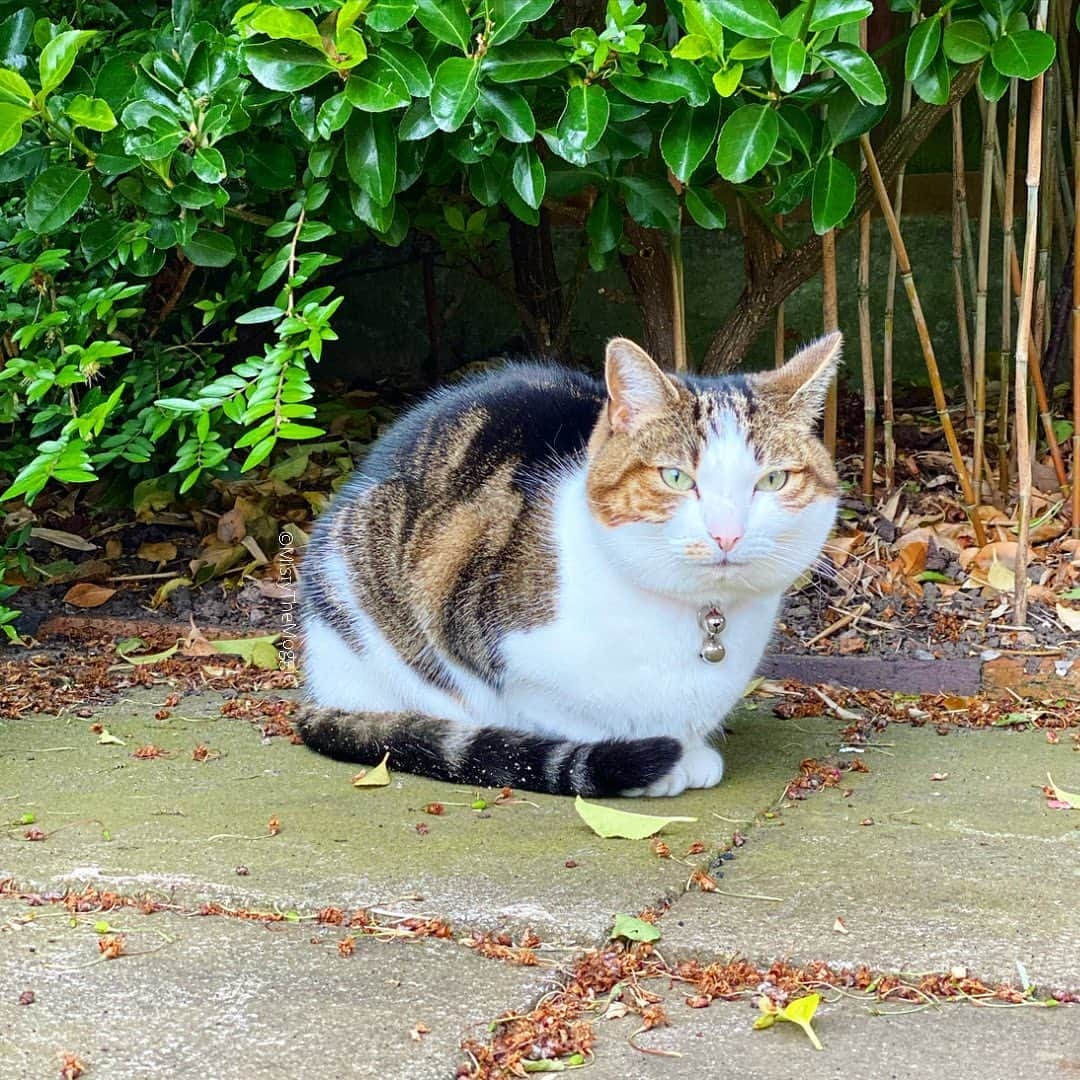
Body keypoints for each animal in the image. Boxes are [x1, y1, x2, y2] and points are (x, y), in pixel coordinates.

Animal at [295, 332, 842, 799]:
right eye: (675, 477)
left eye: (772, 480)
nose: (727, 534)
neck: (697, 616)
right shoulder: (499, 652)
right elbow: (568, 717)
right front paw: (664, 761)